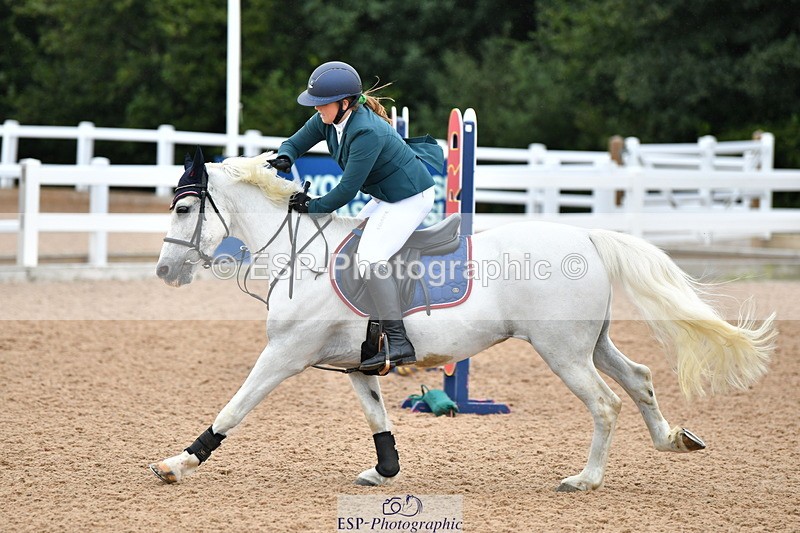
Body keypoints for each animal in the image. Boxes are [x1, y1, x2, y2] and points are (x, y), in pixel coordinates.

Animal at [149, 149, 776, 492]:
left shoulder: (284, 354)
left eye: (184, 207)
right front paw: (384, 472)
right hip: (590, 343)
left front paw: (178, 462)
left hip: (562, 350)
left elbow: (233, 409)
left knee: (606, 403)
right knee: (640, 379)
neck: (301, 253)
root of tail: (587, 237)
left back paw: (585, 479)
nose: (163, 271)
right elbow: (377, 416)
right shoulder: (355, 365)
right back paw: (673, 440)